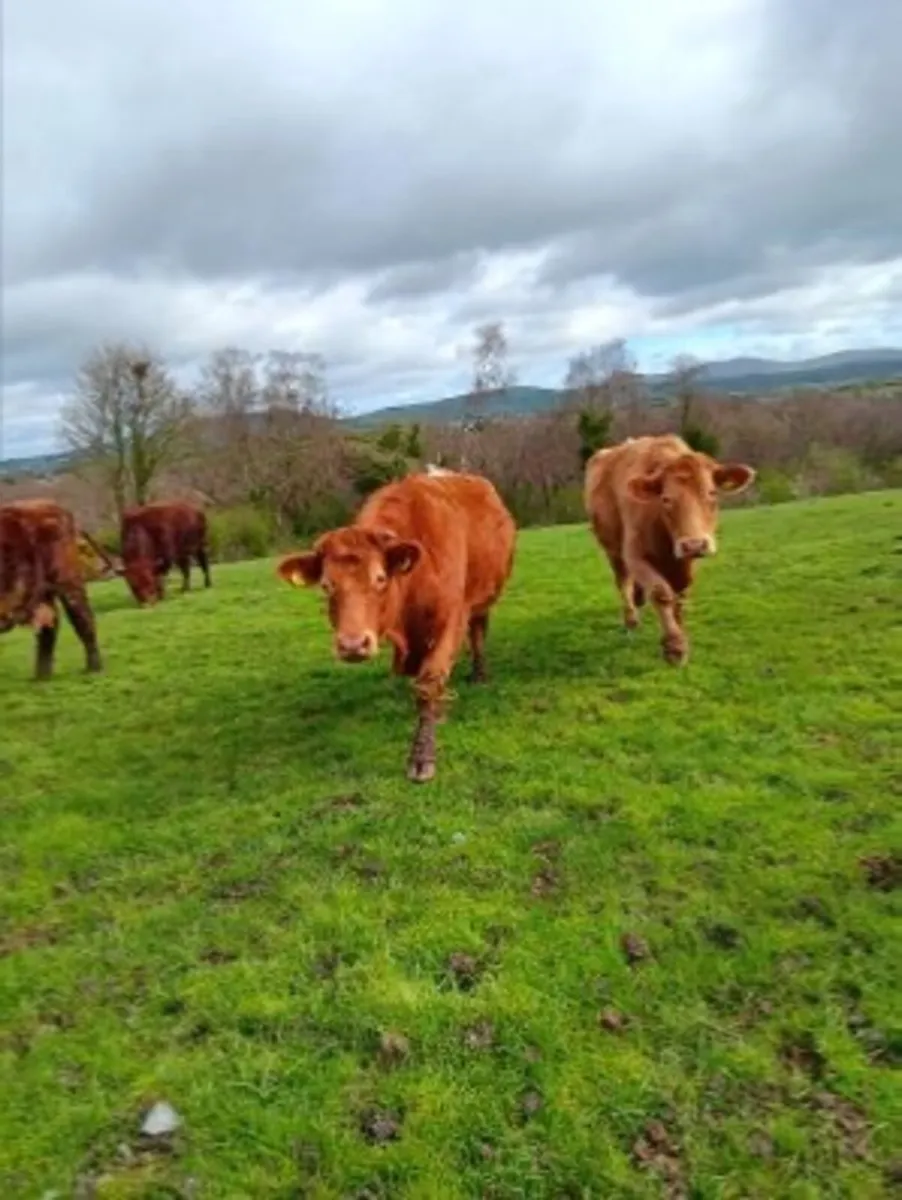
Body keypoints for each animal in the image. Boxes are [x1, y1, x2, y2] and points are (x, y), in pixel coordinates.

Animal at [0, 500, 102, 681]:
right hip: (43, 592)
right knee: (51, 625)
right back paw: (41, 677)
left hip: (68, 584)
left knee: (82, 617)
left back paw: (93, 669)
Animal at [277, 471, 517, 782]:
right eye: (327, 586)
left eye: (380, 578)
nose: (352, 644)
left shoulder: (452, 618)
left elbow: (429, 683)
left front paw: (422, 756)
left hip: (482, 599)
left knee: (477, 633)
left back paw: (479, 674)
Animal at [584, 435, 756, 665]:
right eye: (665, 499)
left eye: (712, 493)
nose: (694, 544)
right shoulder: (635, 555)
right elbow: (661, 592)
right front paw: (675, 645)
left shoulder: (685, 565)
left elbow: (680, 594)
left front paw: (679, 627)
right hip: (612, 549)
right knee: (623, 581)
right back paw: (631, 618)